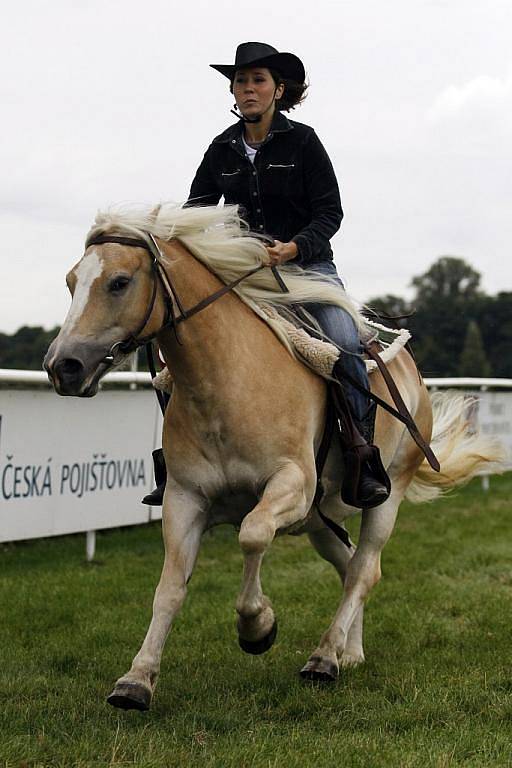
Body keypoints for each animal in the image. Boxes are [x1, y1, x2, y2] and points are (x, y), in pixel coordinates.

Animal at [45, 206, 504, 712]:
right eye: (71, 280)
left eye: (119, 282)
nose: (63, 366)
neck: (227, 382)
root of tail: (409, 372)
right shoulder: (185, 498)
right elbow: (169, 588)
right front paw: (136, 680)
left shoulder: (292, 485)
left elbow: (252, 534)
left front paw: (258, 627)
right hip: (320, 520)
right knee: (348, 566)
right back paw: (348, 651)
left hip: (386, 494)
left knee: (365, 569)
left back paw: (324, 658)